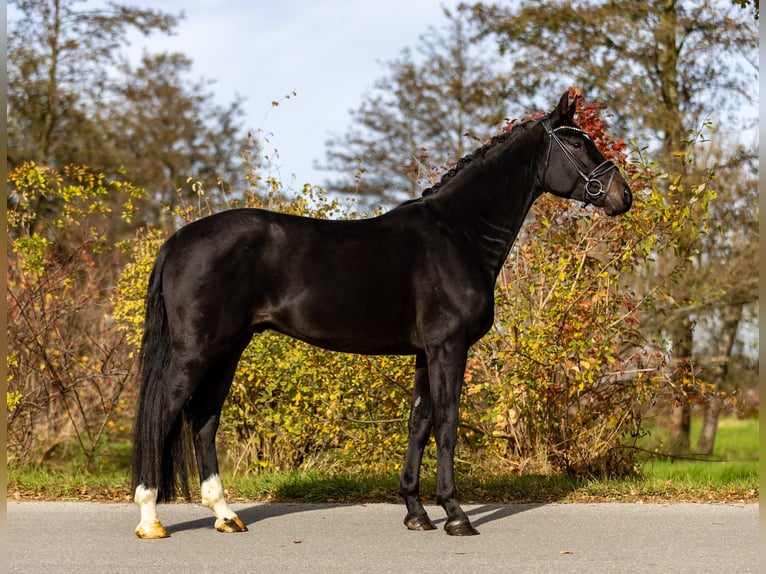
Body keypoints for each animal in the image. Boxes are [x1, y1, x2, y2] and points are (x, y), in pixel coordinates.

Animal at [131, 90, 632, 539]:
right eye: (576, 143)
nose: (622, 195)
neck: (456, 234)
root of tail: (178, 239)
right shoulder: (448, 347)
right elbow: (447, 424)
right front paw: (456, 515)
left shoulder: (425, 353)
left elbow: (419, 424)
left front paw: (416, 512)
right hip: (197, 350)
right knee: (163, 414)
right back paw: (151, 519)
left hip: (229, 347)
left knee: (204, 419)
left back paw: (225, 515)